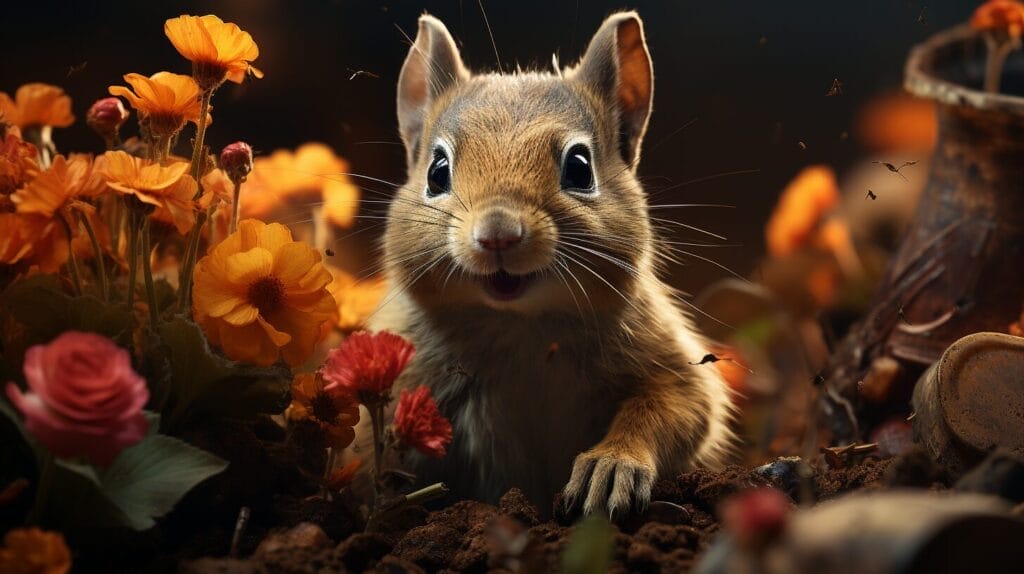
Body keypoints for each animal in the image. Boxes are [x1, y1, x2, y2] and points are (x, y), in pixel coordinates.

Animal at [359, 11, 736, 518]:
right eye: (437, 172)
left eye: (580, 168)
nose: (497, 233)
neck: (520, 324)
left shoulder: (670, 363)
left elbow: (675, 406)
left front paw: (609, 466)